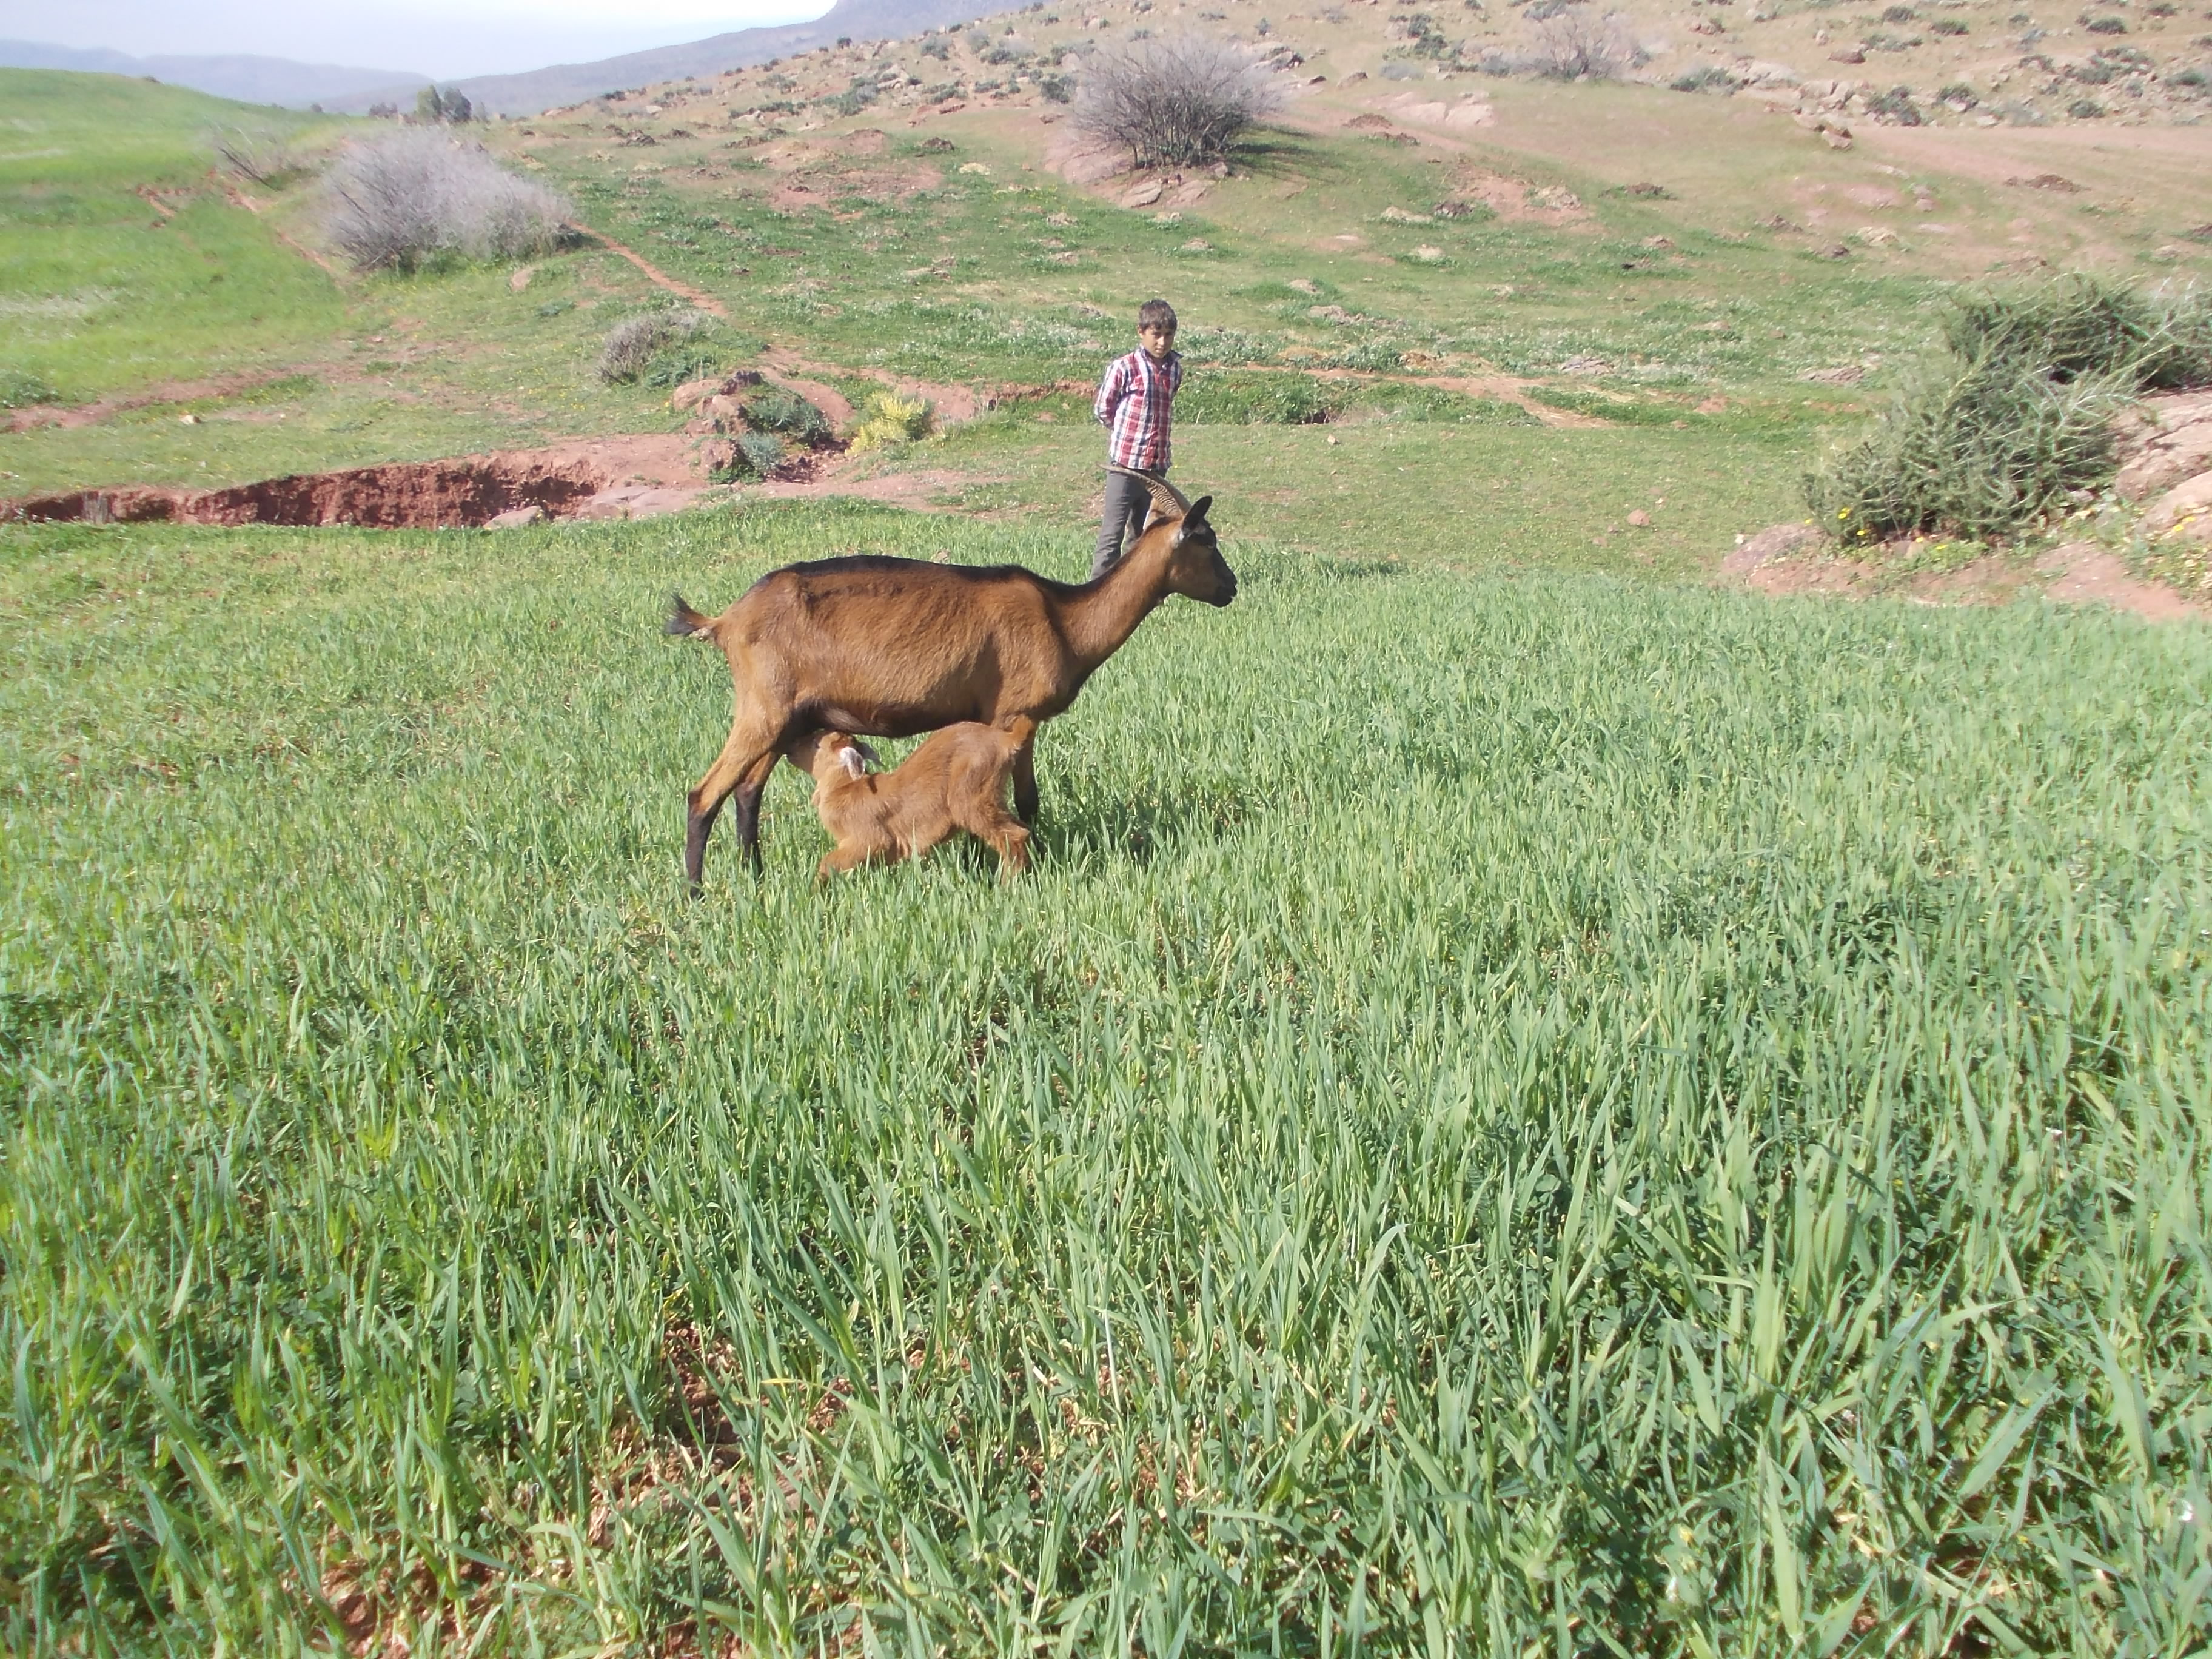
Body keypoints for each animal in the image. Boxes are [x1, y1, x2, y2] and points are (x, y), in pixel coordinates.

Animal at [789, 718, 1036, 879]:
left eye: (816, 743)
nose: (791, 749)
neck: (847, 787)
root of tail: (1006, 740)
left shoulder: (868, 838)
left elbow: (828, 862)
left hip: (971, 795)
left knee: (1014, 835)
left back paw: (1008, 883)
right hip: (991, 795)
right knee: (1021, 828)